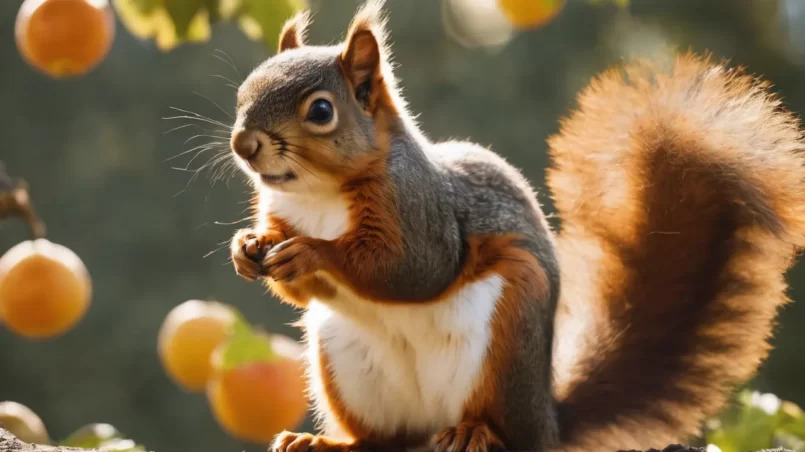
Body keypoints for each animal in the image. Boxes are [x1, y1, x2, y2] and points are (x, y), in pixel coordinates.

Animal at [223, 1, 804, 450]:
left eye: (321, 111)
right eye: (243, 93)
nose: (243, 143)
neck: (318, 195)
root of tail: (547, 422)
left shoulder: (422, 213)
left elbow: (409, 270)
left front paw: (311, 251)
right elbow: (298, 285)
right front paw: (246, 246)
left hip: (507, 337)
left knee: (497, 424)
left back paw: (474, 432)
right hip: (349, 366)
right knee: (384, 439)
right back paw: (324, 441)